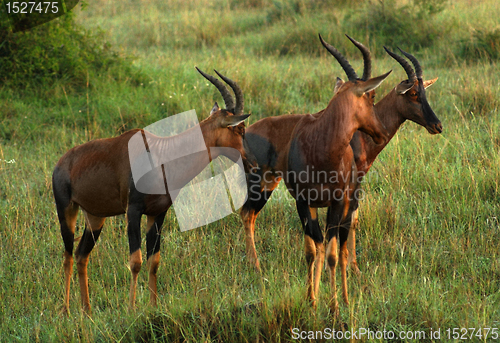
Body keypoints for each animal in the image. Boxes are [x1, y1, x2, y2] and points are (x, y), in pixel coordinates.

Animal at [51, 66, 250, 314]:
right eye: (240, 129)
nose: (250, 160)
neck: (161, 154)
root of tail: (62, 162)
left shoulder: (158, 213)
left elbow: (154, 261)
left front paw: (154, 307)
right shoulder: (133, 211)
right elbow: (135, 261)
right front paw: (131, 308)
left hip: (95, 218)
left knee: (81, 255)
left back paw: (86, 311)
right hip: (66, 210)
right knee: (67, 255)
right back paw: (66, 310)